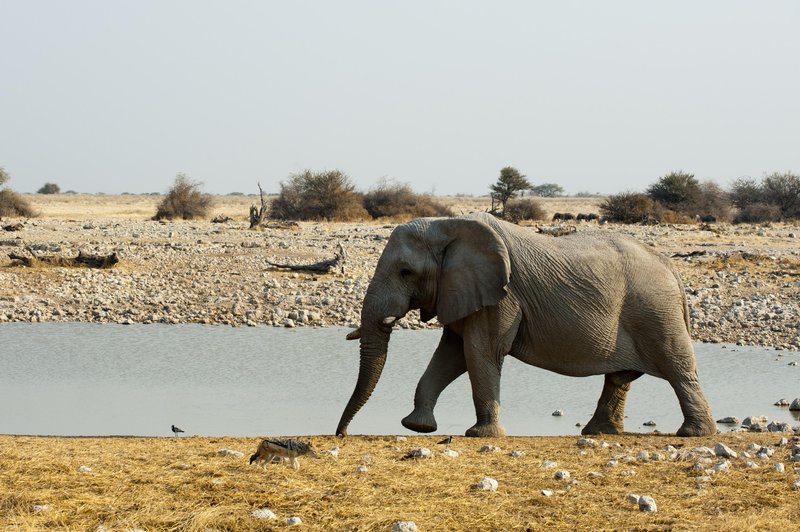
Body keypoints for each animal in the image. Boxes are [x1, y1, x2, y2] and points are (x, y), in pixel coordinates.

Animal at [334, 210, 716, 438]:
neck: (449, 224)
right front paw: (417, 426)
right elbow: (452, 354)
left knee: (677, 367)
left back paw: (694, 434)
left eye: (405, 272)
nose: (342, 434)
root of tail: (671, 266)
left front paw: (480, 436)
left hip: (654, 311)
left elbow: (480, 352)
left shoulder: (502, 295)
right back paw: (599, 433)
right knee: (621, 377)